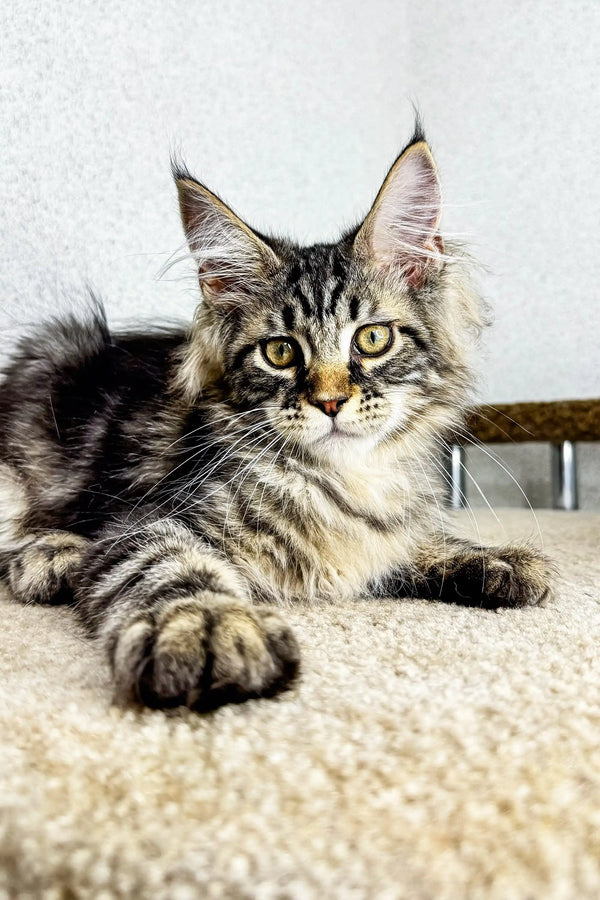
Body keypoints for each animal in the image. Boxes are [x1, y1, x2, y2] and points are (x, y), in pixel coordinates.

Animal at [0, 125, 552, 712]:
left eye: (372, 339)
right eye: (281, 352)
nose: (330, 402)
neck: (347, 482)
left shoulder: (385, 531)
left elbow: (415, 541)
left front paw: (492, 559)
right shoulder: (147, 521)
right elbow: (171, 569)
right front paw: (209, 628)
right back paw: (51, 557)